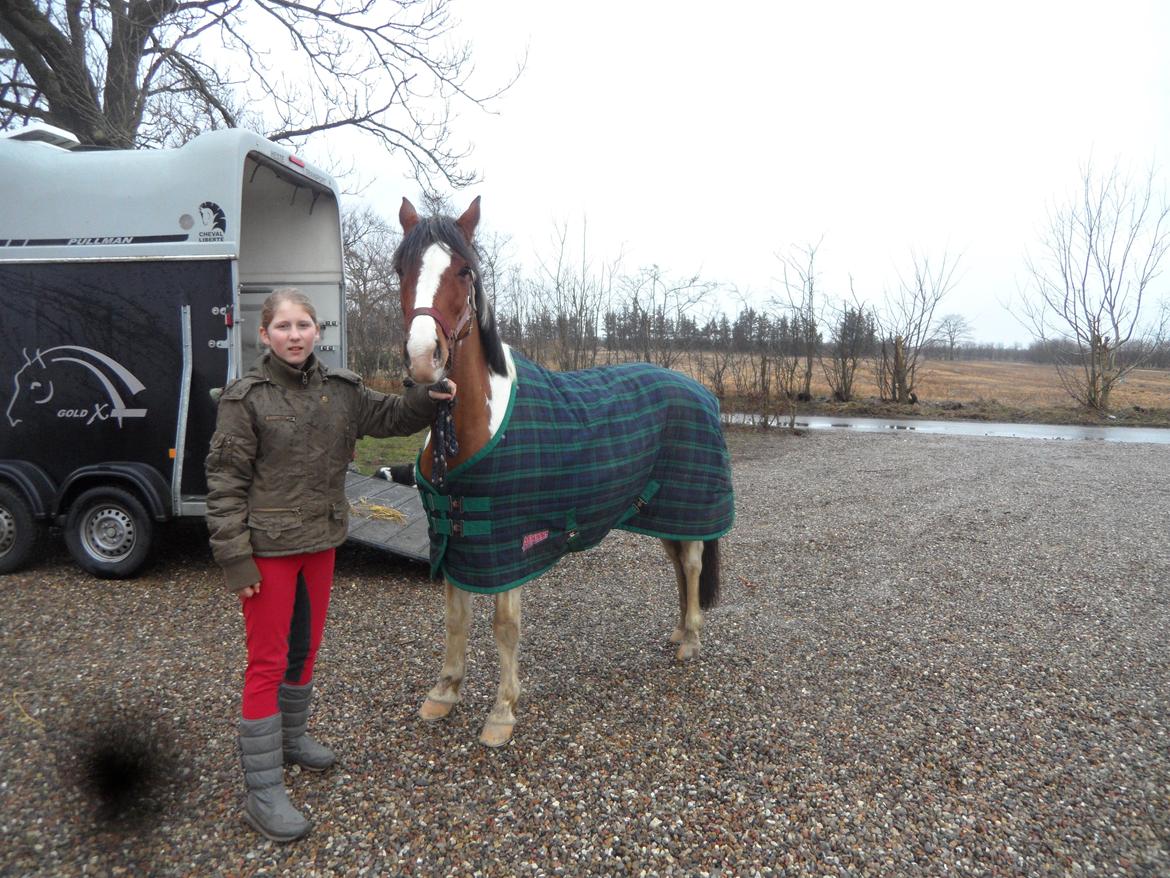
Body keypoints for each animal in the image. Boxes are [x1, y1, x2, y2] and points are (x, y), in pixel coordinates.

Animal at [393, 197, 735, 747]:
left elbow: (504, 626)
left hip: (691, 508)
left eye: (465, 271)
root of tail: (701, 390)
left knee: (693, 565)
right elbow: (455, 618)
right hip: (663, 512)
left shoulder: (508, 543)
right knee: (679, 564)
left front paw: (502, 713)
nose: (425, 359)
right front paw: (443, 693)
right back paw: (680, 630)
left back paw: (691, 643)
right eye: (400, 268)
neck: (477, 425)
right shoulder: (456, 537)